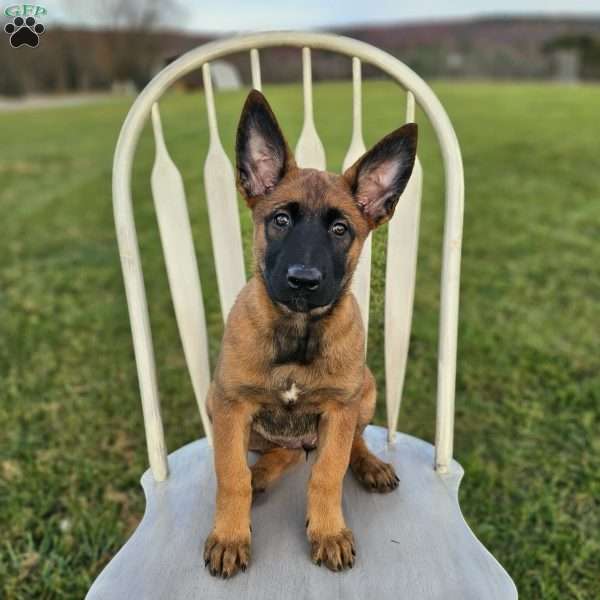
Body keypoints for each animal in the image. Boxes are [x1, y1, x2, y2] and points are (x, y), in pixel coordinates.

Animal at [203, 89, 418, 576]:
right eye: (280, 220)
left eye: (341, 229)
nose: (303, 280)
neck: (298, 331)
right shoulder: (230, 405)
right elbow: (231, 475)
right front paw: (230, 535)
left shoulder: (340, 409)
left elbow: (327, 474)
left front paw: (328, 532)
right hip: (217, 401)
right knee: (278, 453)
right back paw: (262, 473)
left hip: (366, 389)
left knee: (348, 443)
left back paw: (370, 465)